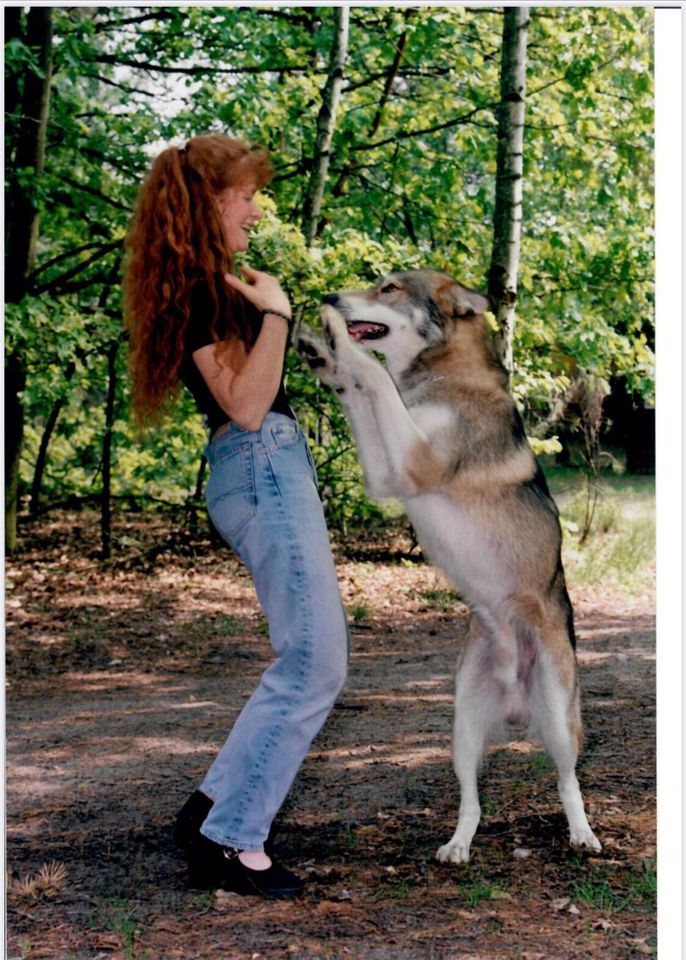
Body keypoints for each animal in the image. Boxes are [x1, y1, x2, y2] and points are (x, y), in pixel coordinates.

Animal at [300, 268, 600, 864]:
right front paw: (324, 356)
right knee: (471, 802)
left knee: (567, 781)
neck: (441, 374)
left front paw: (339, 343)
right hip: (461, 729)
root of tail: (516, 704)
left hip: (559, 720)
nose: (330, 297)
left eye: (389, 287)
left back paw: (582, 834)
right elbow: (362, 386)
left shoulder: (414, 462)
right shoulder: (388, 476)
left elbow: (373, 375)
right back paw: (458, 846)